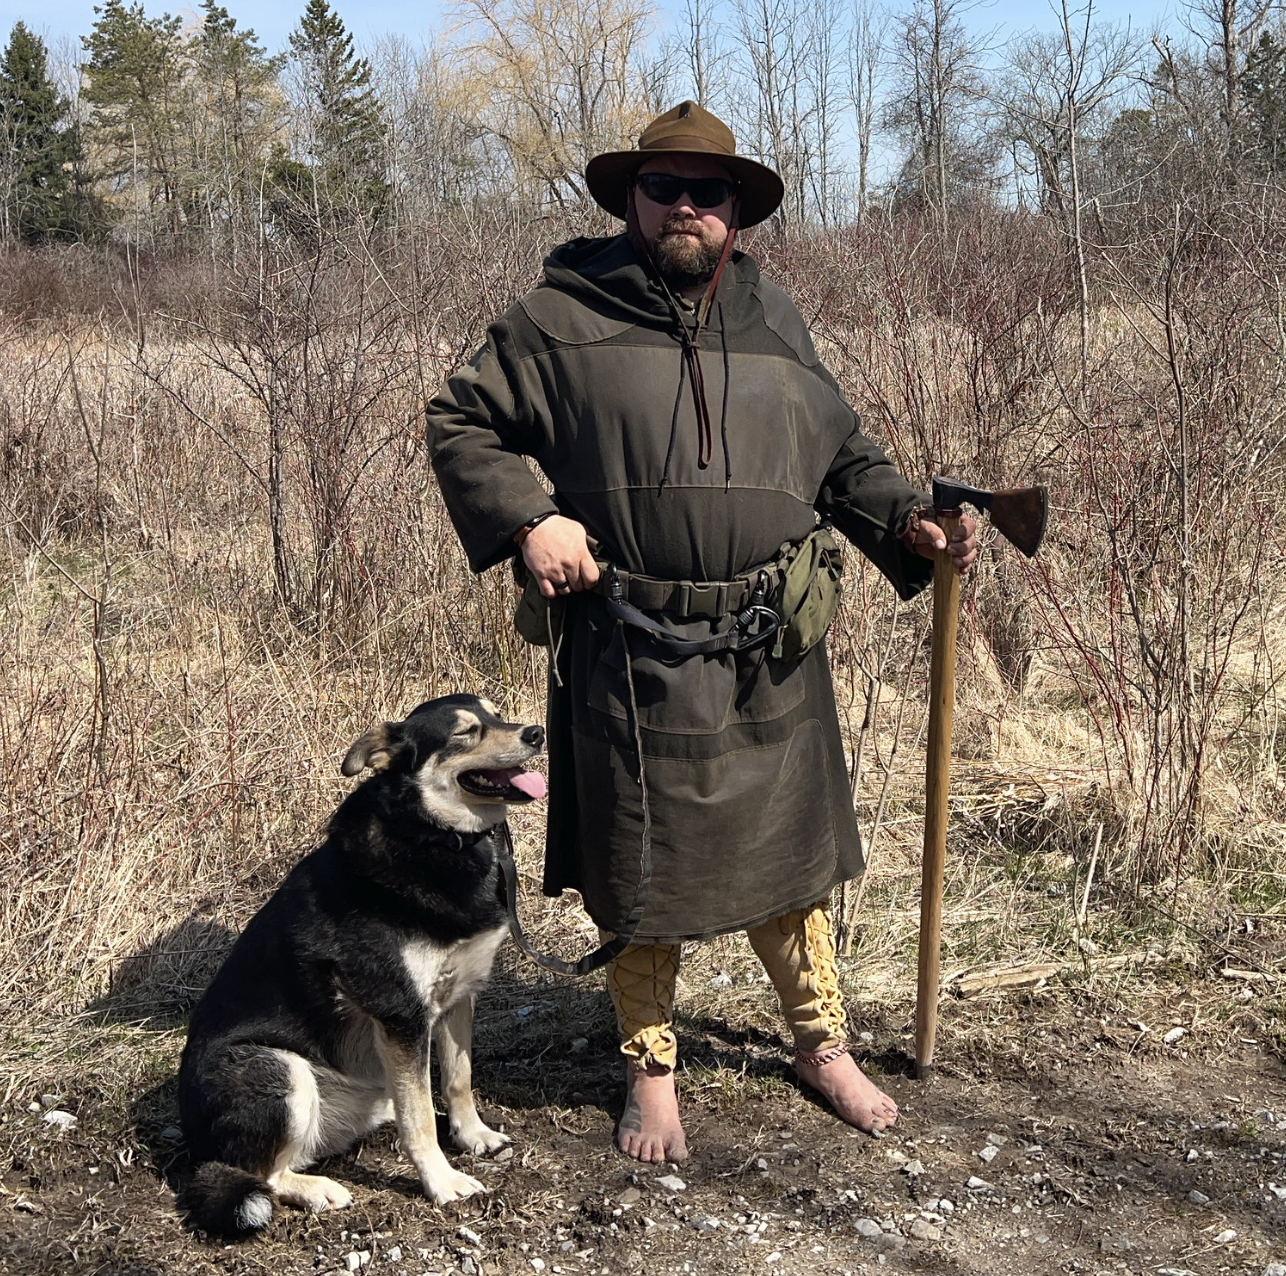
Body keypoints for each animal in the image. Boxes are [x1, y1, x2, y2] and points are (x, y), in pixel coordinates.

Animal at [174, 699, 542, 1234]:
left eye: (496, 713)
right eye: (465, 732)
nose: (536, 732)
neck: (433, 835)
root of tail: (196, 1151)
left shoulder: (459, 995)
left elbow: (457, 1078)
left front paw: (474, 1135)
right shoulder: (401, 1014)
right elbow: (421, 1119)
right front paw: (442, 1181)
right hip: (277, 1070)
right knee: (264, 1174)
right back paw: (317, 1189)